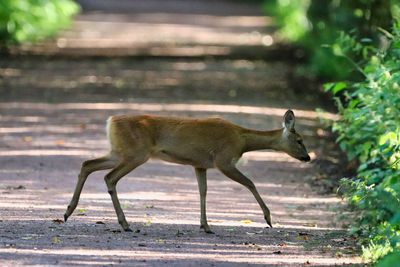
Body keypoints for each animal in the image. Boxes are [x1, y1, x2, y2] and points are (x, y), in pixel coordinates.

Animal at [64, 110, 310, 233]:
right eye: (299, 140)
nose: (307, 158)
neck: (241, 140)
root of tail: (111, 121)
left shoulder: (200, 164)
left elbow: (203, 192)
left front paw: (206, 226)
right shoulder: (223, 160)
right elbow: (250, 183)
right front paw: (268, 218)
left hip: (120, 151)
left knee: (87, 164)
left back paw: (68, 212)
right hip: (136, 153)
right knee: (109, 177)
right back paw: (124, 224)